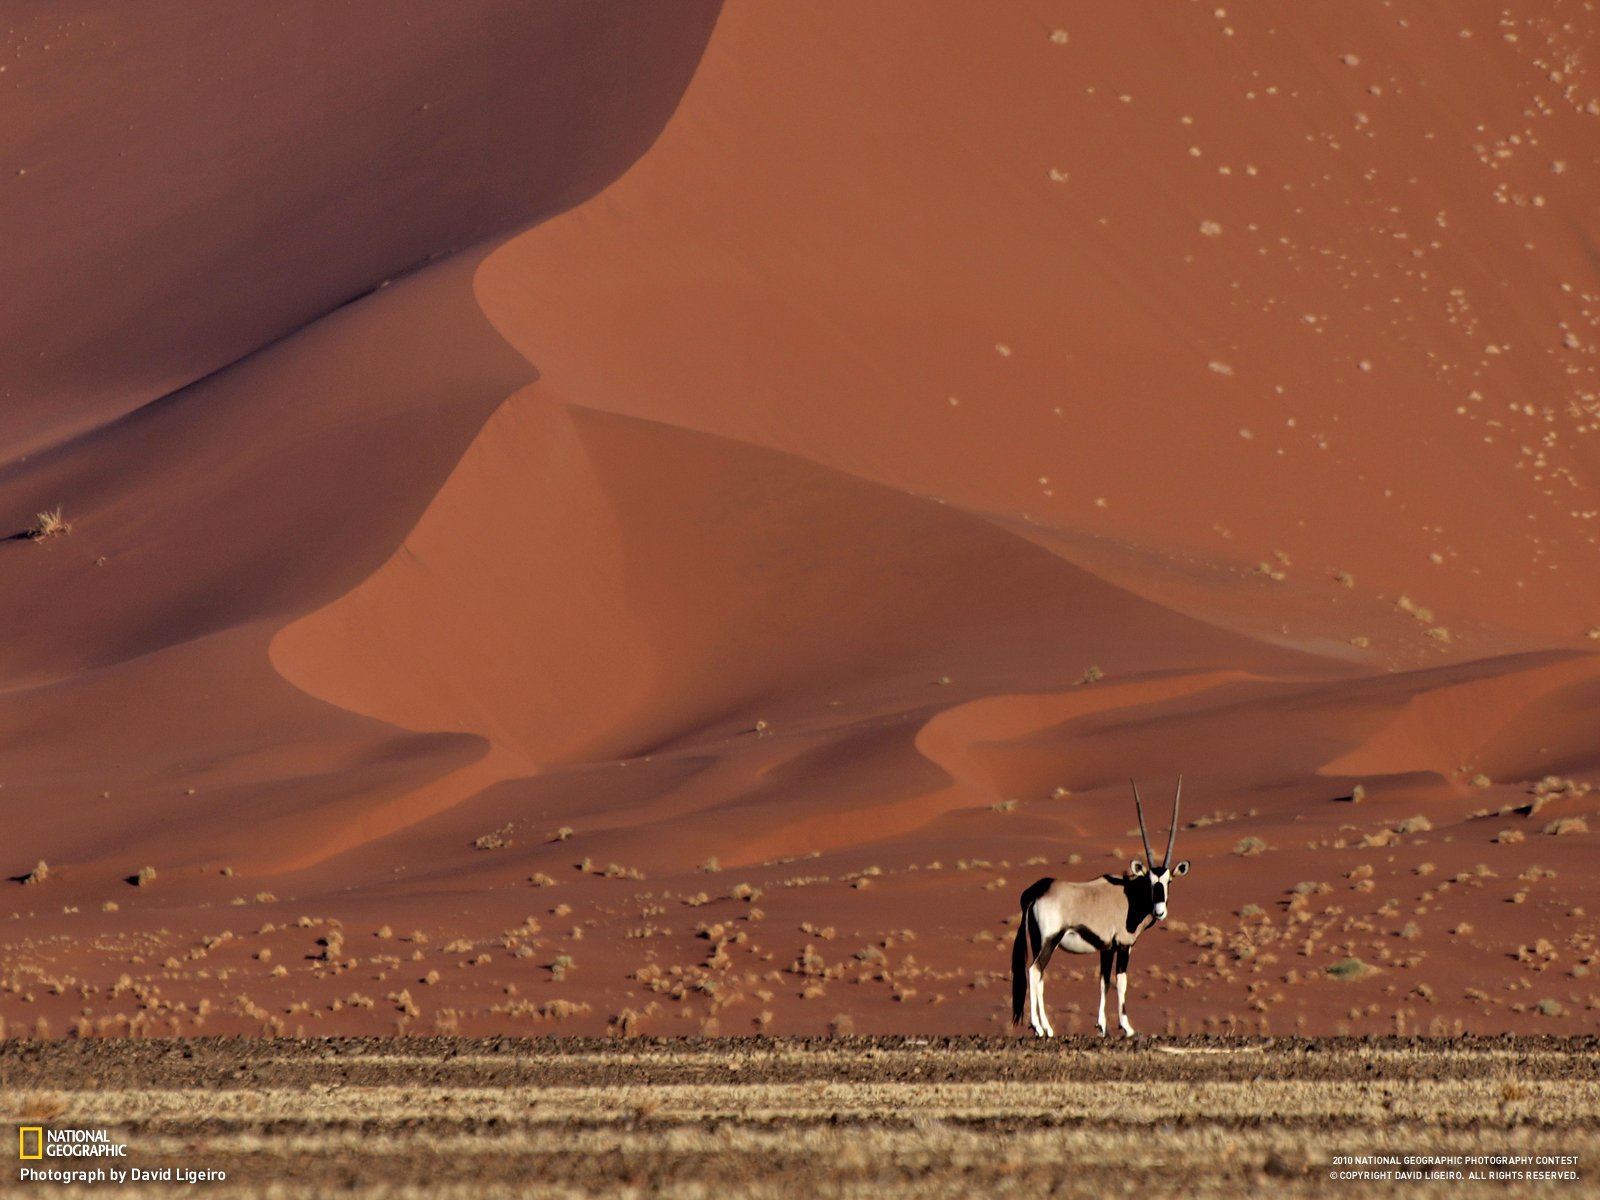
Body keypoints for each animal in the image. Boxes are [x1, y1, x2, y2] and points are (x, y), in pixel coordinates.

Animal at [1011, 779, 1189, 1038]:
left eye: (1169, 881)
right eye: (1149, 881)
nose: (1159, 911)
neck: (1130, 895)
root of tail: (1036, 891)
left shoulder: (1107, 948)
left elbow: (1103, 982)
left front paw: (1102, 1026)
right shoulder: (1124, 946)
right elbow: (1121, 980)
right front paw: (1127, 1027)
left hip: (1039, 941)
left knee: (1039, 976)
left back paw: (1045, 1027)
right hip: (1050, 940)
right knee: (1034, 971)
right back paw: (1040, 1027)